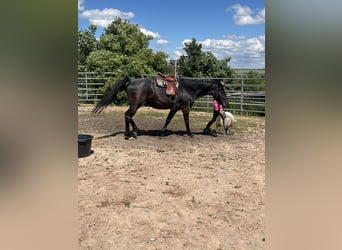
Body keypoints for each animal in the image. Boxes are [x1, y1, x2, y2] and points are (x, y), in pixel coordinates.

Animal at [92, 76, 228, 139]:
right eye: (221, 91)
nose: (226, 104)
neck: (187, 89)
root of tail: (130, 82)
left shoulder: (174, 108)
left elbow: (168, 120)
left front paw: (162, 133)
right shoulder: (185, 108)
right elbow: (186, 121)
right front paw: (190, 134)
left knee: (128, 116)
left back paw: (133, 131)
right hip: (135, 105)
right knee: (127, 115)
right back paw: (130, 133)